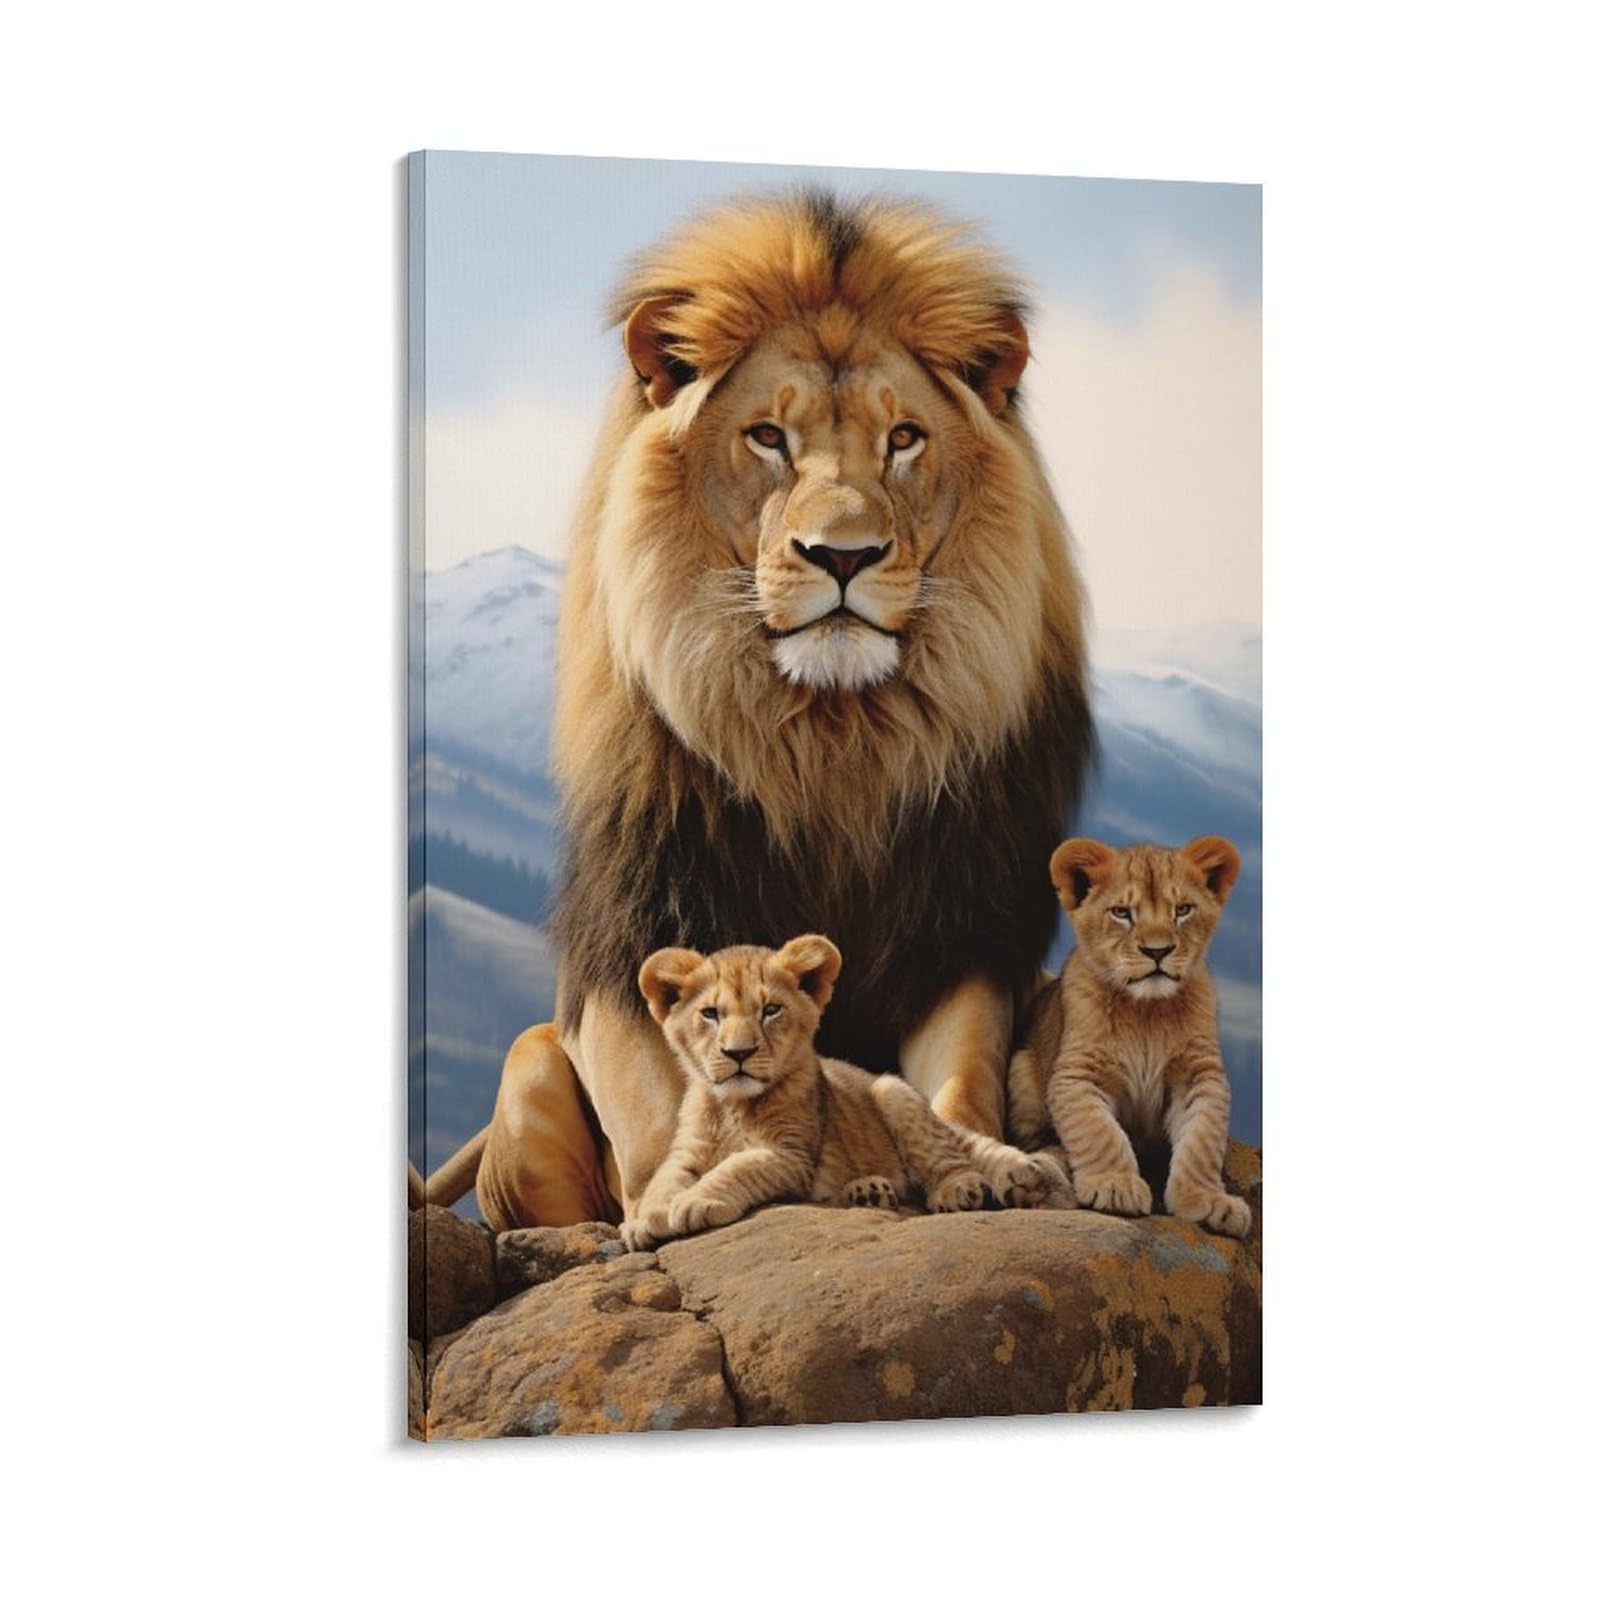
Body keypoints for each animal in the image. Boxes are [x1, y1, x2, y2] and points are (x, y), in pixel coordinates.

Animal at [620, 935, 1065, 1250]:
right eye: (710, 1014)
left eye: (771, 1010)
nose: (739, 1053)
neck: (734, 1104)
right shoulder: (687, 1152)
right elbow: (662, 1179)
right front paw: (645, 1220)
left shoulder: (791, 1154)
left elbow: (737, 1167)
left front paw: (695, 1203)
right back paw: (868, 1191)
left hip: (892, 1090)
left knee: (950, 1157)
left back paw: (960, 1190)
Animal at [1007, 836, 1251, 1238]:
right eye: (1122, 912)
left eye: (1182, 910)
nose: (1158, 951)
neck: (1146, 1012)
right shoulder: (1078, 1073)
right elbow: (1099, 1132)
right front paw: (1114, 1183)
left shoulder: (1199, 1075)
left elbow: (1202, 1140)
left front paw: (1207, 1199)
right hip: (1021, 1068)